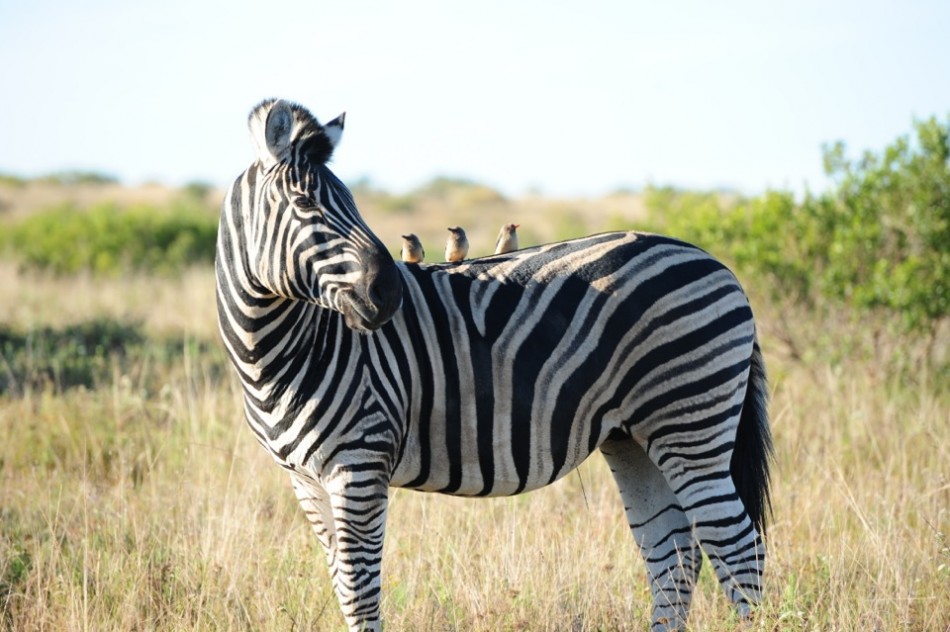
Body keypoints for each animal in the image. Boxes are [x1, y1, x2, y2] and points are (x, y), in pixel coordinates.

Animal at [215, 98, 773, 632]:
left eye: (351, 201)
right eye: (305, 203)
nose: (391, 293)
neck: (282, 352)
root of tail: (719, 264)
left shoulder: (360, 463)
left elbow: (360, 593)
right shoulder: (306, 480)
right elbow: (341, 583)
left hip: (689, 422)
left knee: (736, 547)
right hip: (633, 437)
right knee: (673, 554)